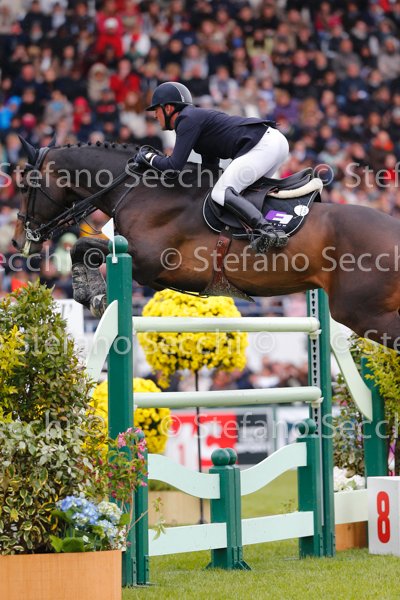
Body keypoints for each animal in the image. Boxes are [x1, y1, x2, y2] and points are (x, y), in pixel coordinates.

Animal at [11, 139, 400, 349]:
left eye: (26, 183)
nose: (17, 240)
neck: (138, 190)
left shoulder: (148, 263)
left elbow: (86, 248)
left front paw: (90, 294)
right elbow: (83, 248)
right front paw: (90, 292)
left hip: (363, 313)